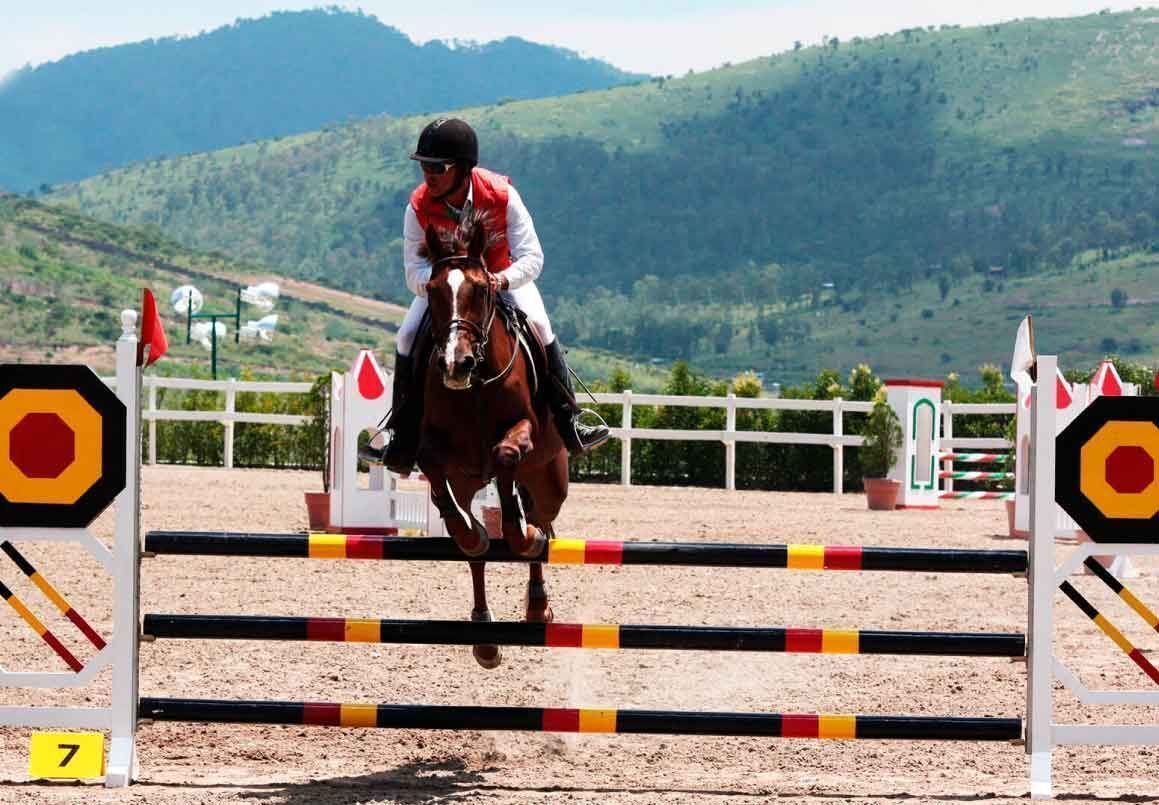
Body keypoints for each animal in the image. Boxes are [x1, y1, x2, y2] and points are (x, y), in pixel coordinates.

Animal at [414, 210, 567, 671]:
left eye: (481, 290)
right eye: (432, 291)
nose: (455, 364)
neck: (477, 383)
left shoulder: (522, 431)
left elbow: (506, 454)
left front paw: (520, 535)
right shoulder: (442, 454)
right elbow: (435, 471)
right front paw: (471, 533)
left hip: (550, 479)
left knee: (543, 520)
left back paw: (537, 602)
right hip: (468, 482)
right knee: (476, 553)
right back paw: (484, 635)